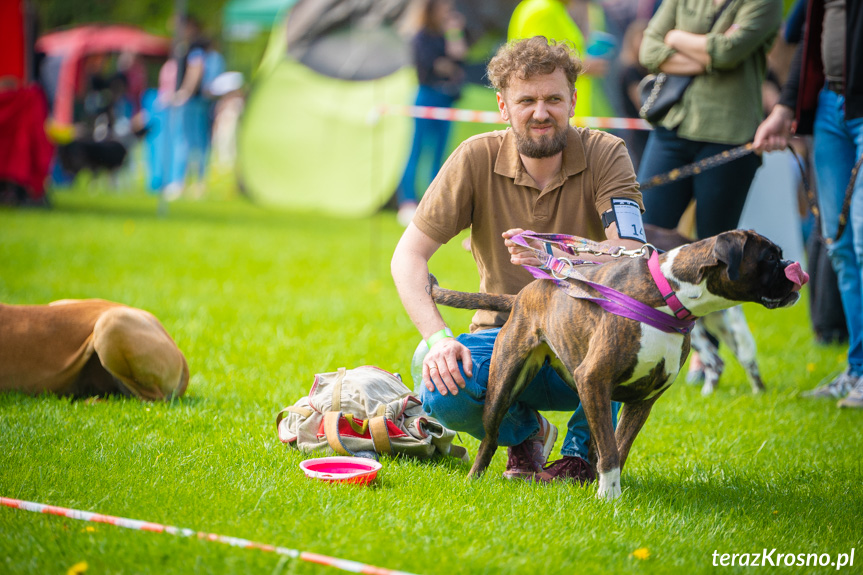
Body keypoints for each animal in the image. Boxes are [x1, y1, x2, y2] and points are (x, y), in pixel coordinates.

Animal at [432, 230, 808, 500]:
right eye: (770, 257)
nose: (794, 268)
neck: (670, 296)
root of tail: (530, 289)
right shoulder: (595, 379)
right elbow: (611, 453)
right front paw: (608, 498)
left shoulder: (641, 400)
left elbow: (618, 447)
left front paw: (610, 494)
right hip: (506, 379)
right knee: (491, 435)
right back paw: (475, 477)